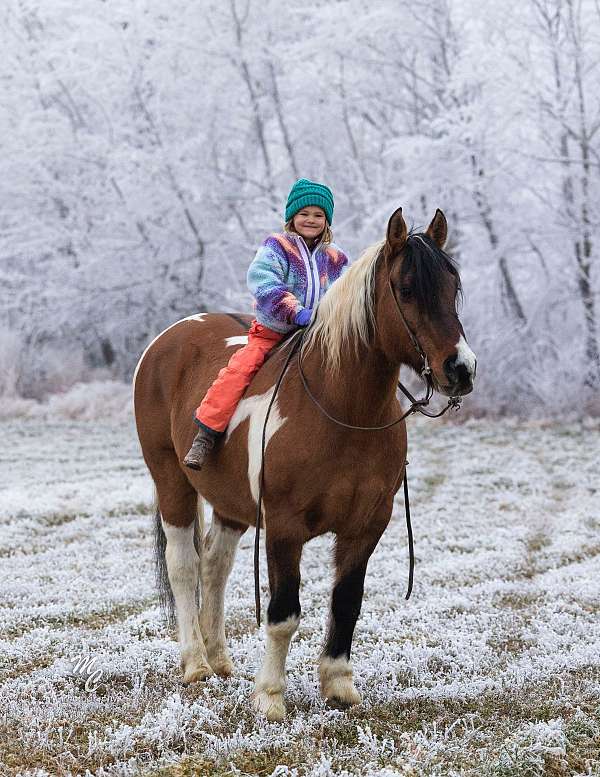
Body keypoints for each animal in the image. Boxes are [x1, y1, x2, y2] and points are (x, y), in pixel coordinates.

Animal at [134, 206, 476, 720]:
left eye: (452, 286)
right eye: (407, 288)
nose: (461, 369)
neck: (343, 410)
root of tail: (169, 338)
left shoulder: (366, 526)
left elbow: (347, 602)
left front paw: (338, 685)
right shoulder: (284, 527)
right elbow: (283, 613)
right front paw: (270, 696)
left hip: (231, 503)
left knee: (214, 566)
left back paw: (220, 660)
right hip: (171, 480)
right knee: (184, 566)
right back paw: (195, 663)